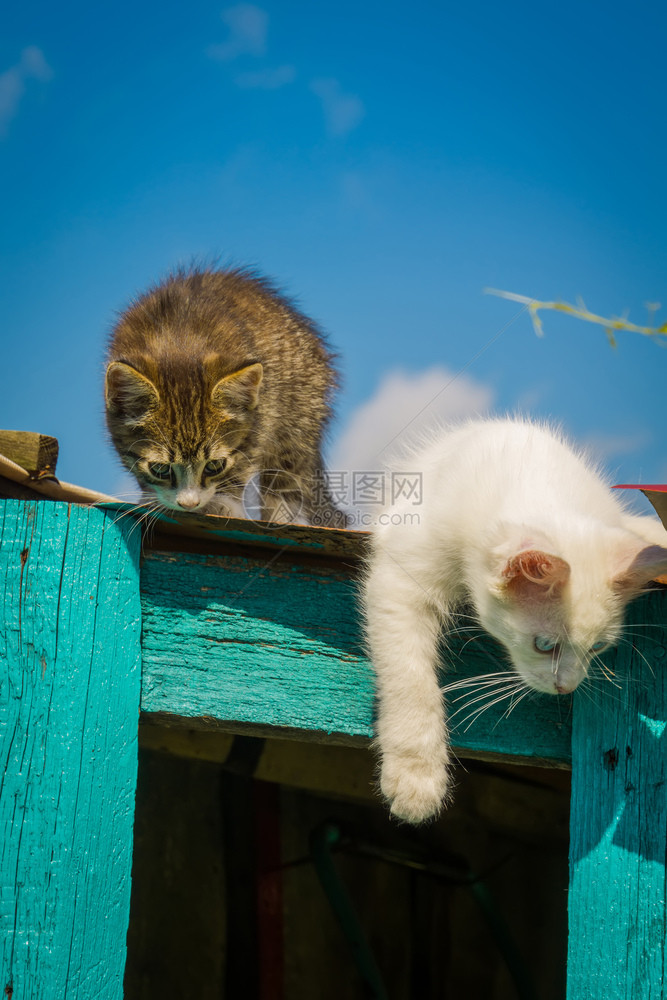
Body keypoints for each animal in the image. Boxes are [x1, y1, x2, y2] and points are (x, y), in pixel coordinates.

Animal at [105, 268, 344, 524]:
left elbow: (244, 459)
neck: (178, 344)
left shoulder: (261, 414)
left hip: (299, 413)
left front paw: (224, 501)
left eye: (215, 466)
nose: (189, 504)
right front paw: (151, 497)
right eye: (160, 469)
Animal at [366, 418, 667, 824]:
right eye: (545, 645)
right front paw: (417, 775)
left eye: (598, 648)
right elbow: (409, 677)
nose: (566, 688)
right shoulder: (401, 576)